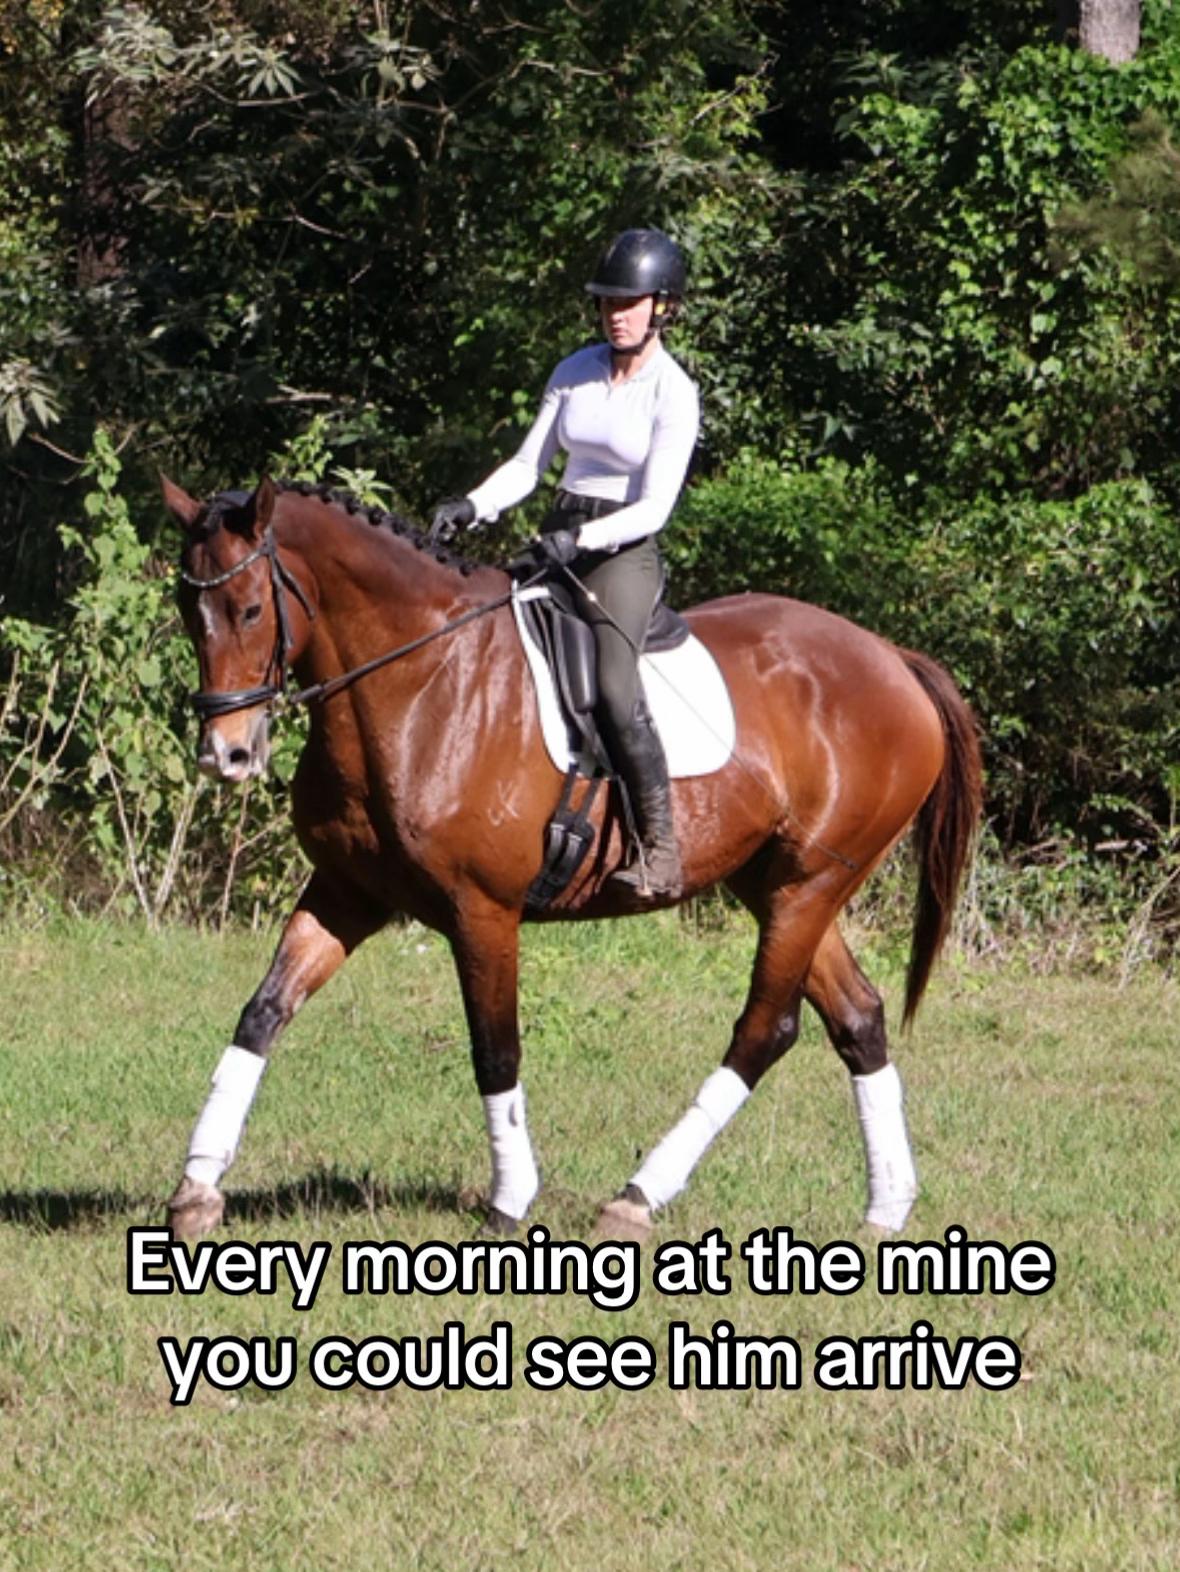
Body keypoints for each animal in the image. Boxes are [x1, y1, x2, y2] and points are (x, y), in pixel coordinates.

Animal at [161, 474, 982, 1243]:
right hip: (777, 885)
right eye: (186, 609)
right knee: (858, 1017)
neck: (420, 682)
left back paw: (637, 1197)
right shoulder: (345, 892)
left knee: (764, 1030)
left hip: (808, 885)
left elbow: (496, 1049)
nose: (225, 755)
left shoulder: (481, 911)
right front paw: (197, 1190)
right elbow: (262, 1014)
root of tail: (893, 658)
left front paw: (509, 1200)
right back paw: (887, 1208)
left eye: (251, 610)